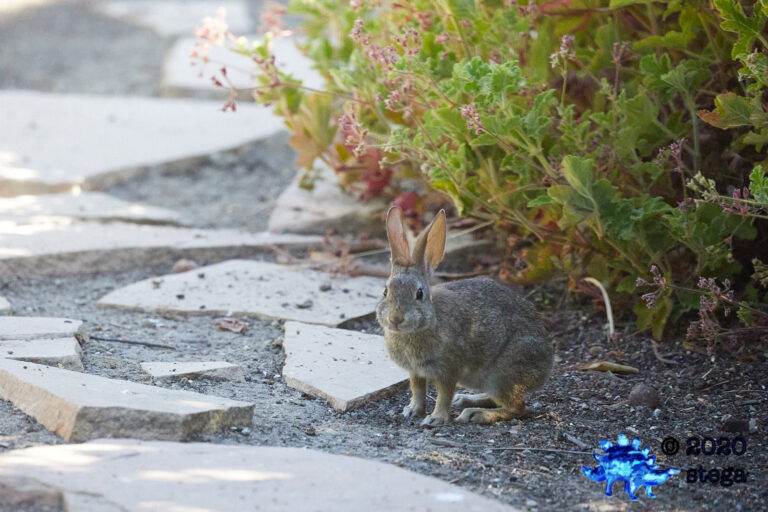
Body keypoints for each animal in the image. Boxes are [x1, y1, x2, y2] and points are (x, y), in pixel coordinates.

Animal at [376, 206, 553, 426]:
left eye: (419, 294)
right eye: (385, 292)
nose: (395, 319)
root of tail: (546, 367)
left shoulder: (448, 369)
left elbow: (444, 395)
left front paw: (435, 419)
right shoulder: (416, 371)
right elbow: (417, 389)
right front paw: (412, 410)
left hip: (502, 374)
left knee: (518, 408)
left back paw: (476, 413)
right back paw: (467, 400)